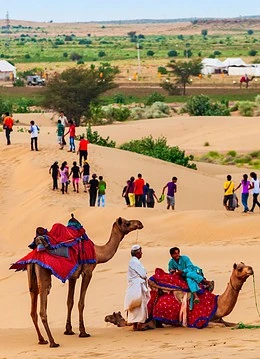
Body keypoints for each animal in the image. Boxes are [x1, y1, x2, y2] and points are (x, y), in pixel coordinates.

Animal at [25, 218, 142, 348]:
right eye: (127, 223)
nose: (139, 223)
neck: (98, 252)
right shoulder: (88, 272)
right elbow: (81, 303)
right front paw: (83, 332)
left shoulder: (72, 276)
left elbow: (69, 302)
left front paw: (69, 330)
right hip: (43, 274)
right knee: (42, 309)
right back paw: (52, 342)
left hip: (32, 278)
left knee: (33, 308)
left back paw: (42, 340)